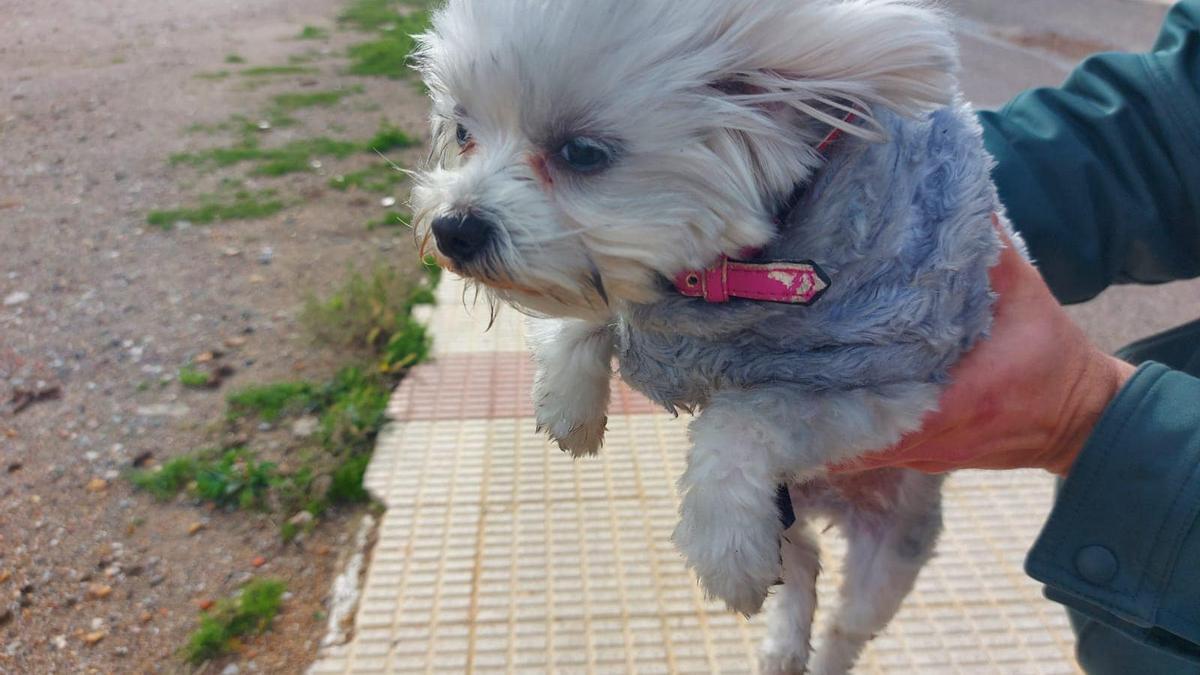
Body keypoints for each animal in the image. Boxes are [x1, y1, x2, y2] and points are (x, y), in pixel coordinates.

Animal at [412, 2, 1022, 667]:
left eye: (581, 152)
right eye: (462, 132)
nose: (452, 229)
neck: (726, 279)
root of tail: (832, 506)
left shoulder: (893, 387)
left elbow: (743, 416)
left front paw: (722, 549)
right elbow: (588, 315)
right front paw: (569, 405)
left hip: (887, 557)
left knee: (845, 628)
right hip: (787, 521)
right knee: (803, 569)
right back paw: (783, 645)